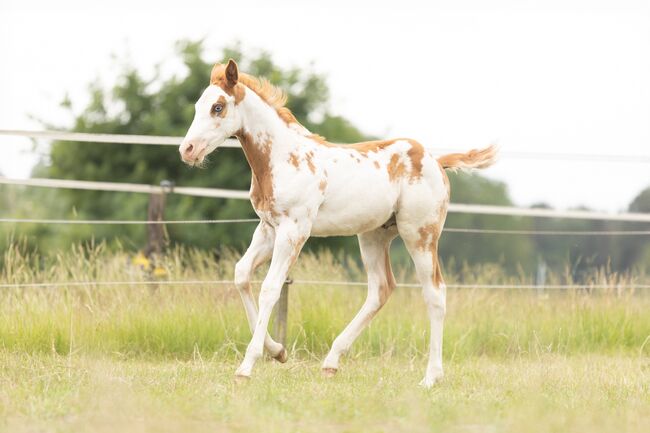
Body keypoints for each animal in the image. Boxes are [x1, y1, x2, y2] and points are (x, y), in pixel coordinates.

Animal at [180, 59, 494, 386]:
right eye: (198, 105)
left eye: (218, 107)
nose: (187, 150)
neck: (282, 158)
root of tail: (435, 161)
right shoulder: (268, 229)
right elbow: (241, 275)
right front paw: (278, 351)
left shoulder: (294, 230)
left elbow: (270, 287)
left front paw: (247, 366)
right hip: (373, 236)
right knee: (381, 288)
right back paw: (331, 361)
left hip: (420, 235)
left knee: (435, 293)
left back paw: (431, 377)